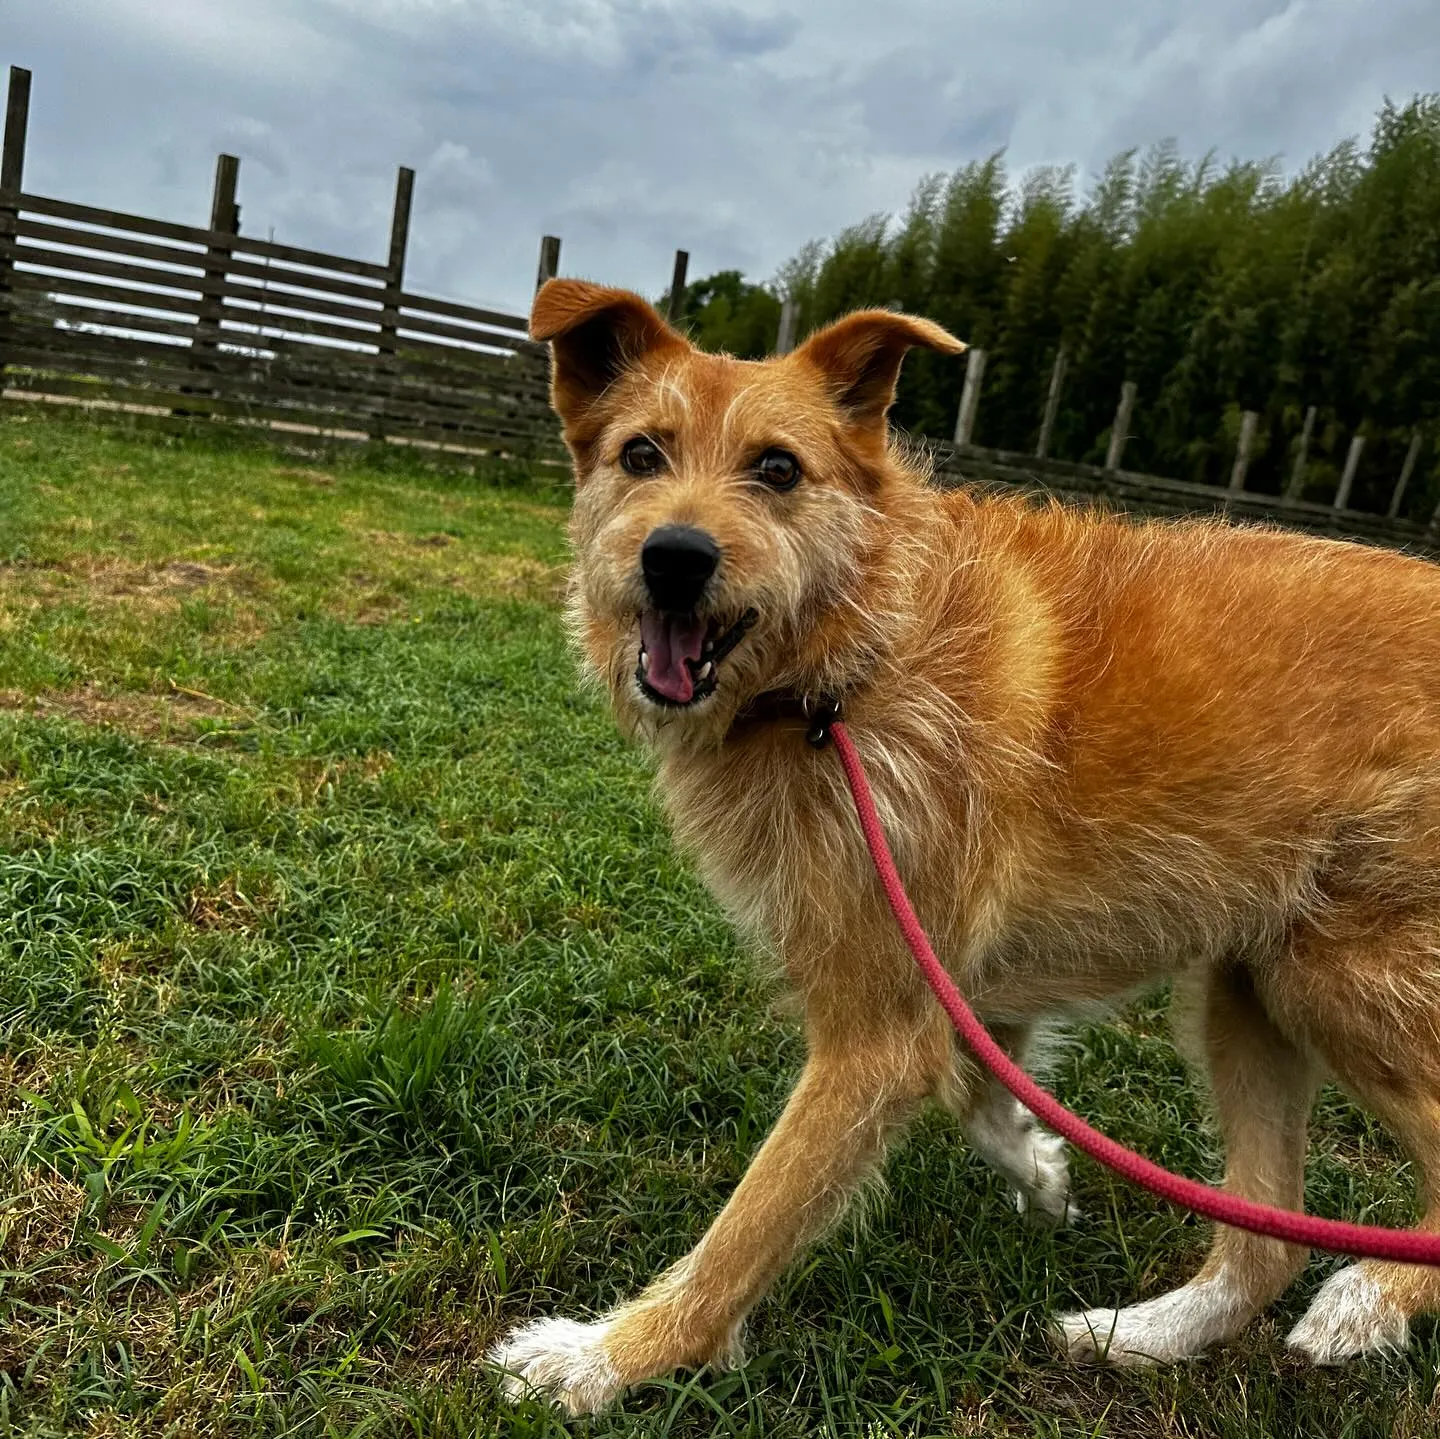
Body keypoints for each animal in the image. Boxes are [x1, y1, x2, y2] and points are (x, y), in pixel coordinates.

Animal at [492, 280, 1440, 1417]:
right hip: (1249, 982)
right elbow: (983, 1085)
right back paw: (1146, 1331)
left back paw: (1369, 1297)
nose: (674, 557)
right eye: (640, 454)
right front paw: (1042, 1168)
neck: (848, 664)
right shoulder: (953, 979)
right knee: (1267, 1241)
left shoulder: (873, 1032)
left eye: (779, 468)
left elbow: (750, 1224)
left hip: (1341, 976)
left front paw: (609, 1355)